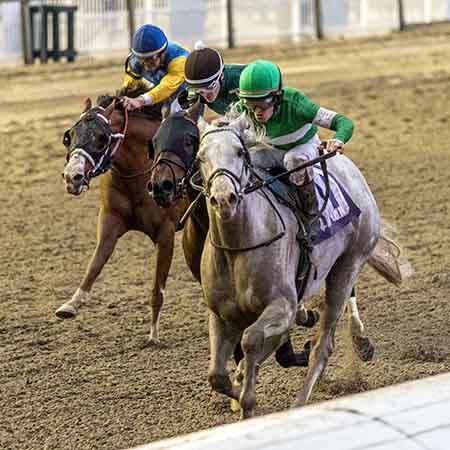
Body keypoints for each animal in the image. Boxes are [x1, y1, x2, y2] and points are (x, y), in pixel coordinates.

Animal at [57, 94, 188, 342]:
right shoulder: (110, 220)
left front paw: (153, 334)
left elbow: (158, 288)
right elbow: (95, 264)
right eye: (69, 136)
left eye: (101, 138)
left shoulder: (166, 233)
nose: (72, 177)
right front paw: (71, 304)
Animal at [197, 112, 408, 418]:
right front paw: (238, 385)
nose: (224, 199)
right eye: (200, 156)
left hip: (347, 268)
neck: (239, 246)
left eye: (239, 152)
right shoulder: (221, 315)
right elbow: (217, 375)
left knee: (323, 346)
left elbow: (251, 339)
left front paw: (247, 397)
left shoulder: (282, 304)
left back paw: (300, 401)